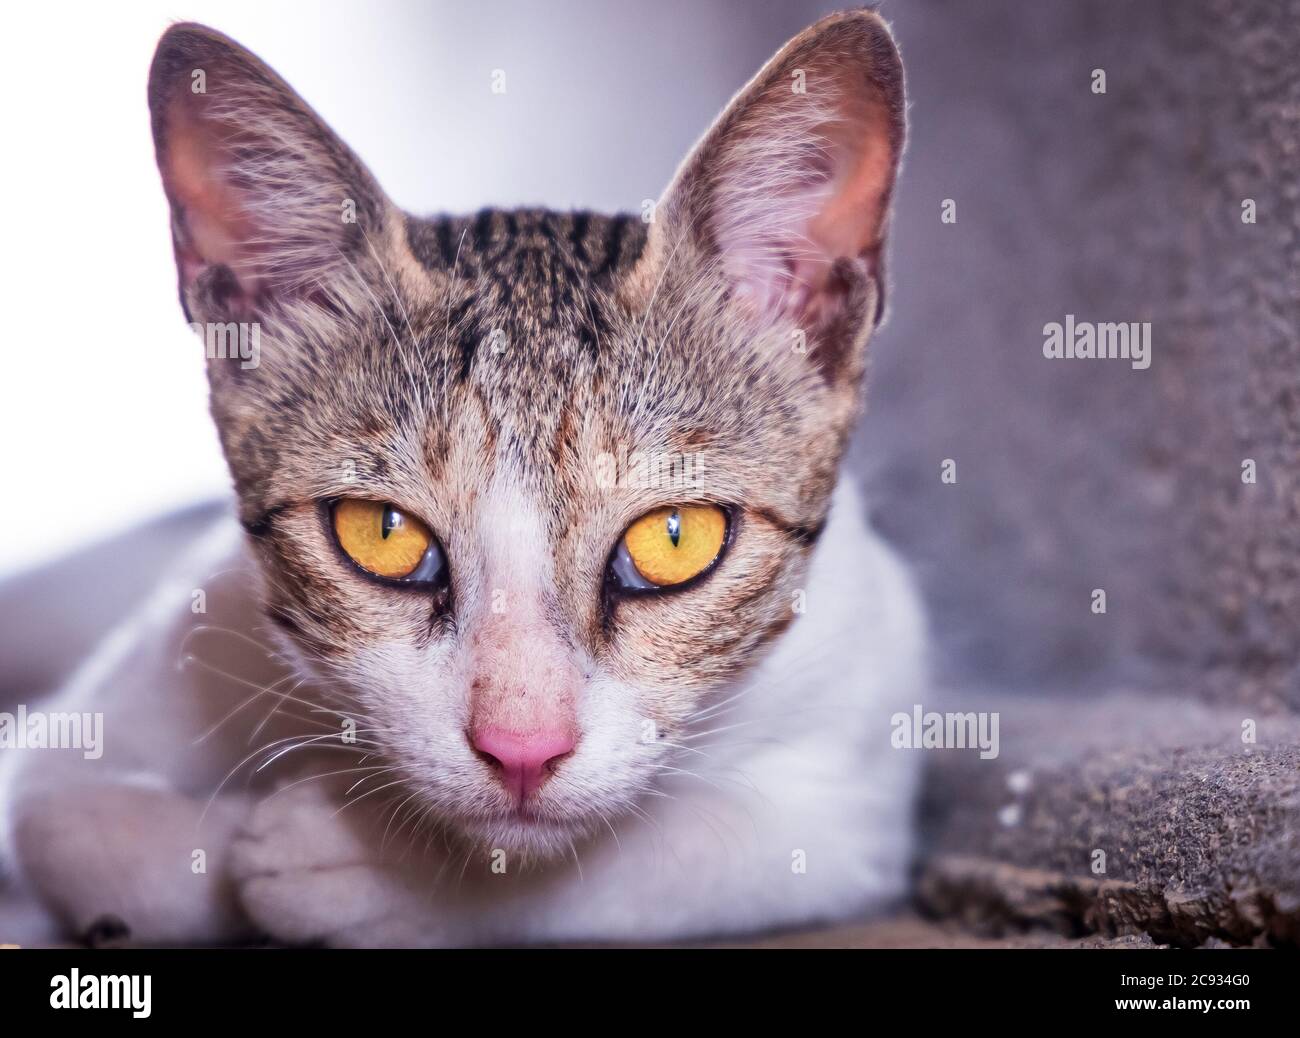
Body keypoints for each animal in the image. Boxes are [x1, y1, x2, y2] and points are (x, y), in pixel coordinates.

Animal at [0, 10, 925, 952]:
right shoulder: (101, 716)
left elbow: (681, 851)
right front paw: (264, 842)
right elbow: (72, 821)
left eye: (675, 539)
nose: (523, 748)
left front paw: (356, 861)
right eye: (382, 533)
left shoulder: (860, 785)